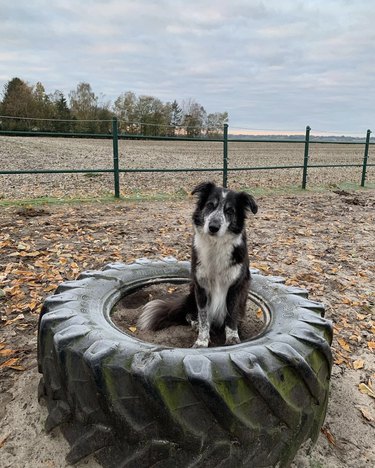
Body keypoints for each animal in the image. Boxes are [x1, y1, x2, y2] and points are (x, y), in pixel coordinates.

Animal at [138, 182, 258, 348]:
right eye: (210, 205)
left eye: (229, 211)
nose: (213, 227)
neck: (216, 245)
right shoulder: (201, 287)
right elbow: (203, 318)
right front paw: (202, 341)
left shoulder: (236, 287)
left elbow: (231, 316)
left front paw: (232, 338)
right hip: (191, 292)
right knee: (189, 314)